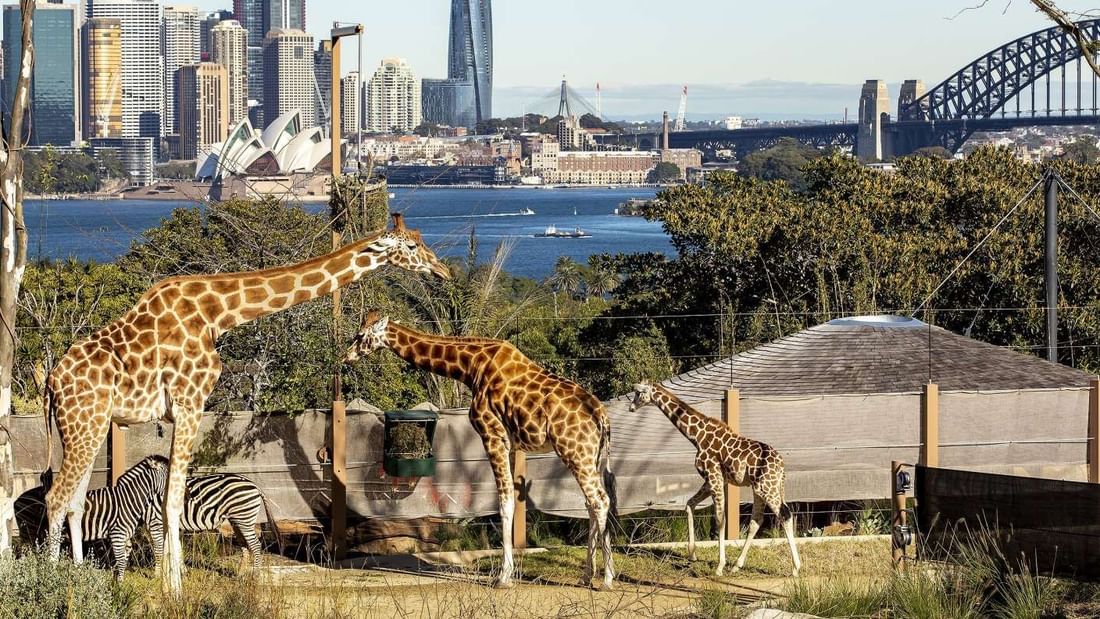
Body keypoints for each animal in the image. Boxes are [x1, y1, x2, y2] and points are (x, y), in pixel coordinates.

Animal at [42, 214, 449, 594]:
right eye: (411, 247)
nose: (441, 270)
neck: (216, 314)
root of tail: (50, 383)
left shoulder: (180, 410)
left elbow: (168, 497)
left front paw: (169, 580)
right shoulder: (190, 402)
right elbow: (171, 500)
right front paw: (175, 589)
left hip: (90, 427)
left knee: (74, 500)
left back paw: (77, 577)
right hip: (85, 423)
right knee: (55, 497)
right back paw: (50, 582)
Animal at [344, 312, 615, 590]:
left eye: (360, 335)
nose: (346, 356)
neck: (471, 367)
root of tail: (602, 417)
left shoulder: (492, 435)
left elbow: (504, 503)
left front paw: (503, 577)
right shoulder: (510, 443)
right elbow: (510, 499)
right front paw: (507, 573)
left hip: (574, 452)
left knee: (600, 500)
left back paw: (606, 579)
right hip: (589, 455)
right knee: (594, 502)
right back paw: (587, 575)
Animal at [628, 381, 801, 577]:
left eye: (639, 392)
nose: (631, 407)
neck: (696, 436)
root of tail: (781, 465)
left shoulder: (714, 476)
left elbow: (720, 519)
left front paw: (719, 566)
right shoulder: (715, 479)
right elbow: (689, 504)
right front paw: (692, 555)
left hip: (767, 487)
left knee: (784, 515)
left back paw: (796, 568)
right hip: (762, 488)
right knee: (756, 521)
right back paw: (737, 565)